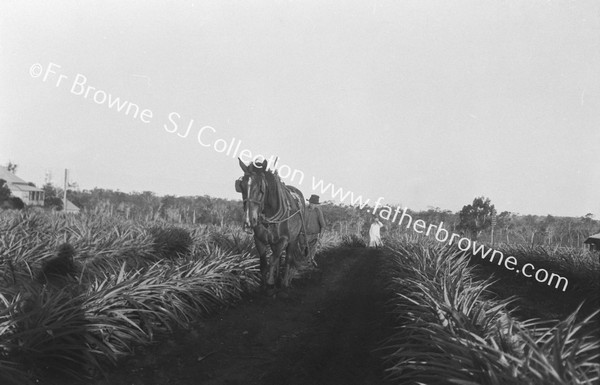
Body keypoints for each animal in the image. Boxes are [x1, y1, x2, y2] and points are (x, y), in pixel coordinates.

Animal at [236, 157, 308, 292]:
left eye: (261, 187)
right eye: (241, 185)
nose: (249, 221)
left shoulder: (284, 240)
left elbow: (273, 259)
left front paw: (270, 283)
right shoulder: (259, 240)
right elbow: (264, 262)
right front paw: (264, 285)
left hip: (294, 239)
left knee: (288, 259)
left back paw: (284, 283)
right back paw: (278, 279)